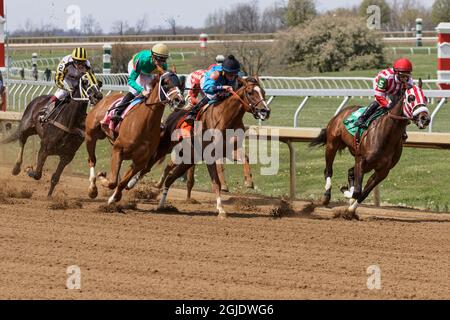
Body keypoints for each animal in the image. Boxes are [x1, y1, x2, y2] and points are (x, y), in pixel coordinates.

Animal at [84, 71, 185, 204]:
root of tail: (102, 100)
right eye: (165, 83)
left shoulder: (139, 161)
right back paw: (92, 189)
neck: (146, 123)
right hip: (91, 136)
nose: (179, 100)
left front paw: (114, 198)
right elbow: (112, 182)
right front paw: (102, 178)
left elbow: (122, 182)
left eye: (179, 83)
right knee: (92, 160)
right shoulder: (119, 149)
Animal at [312, 82, 430, 220]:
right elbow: (358, 191)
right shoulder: (361, 160)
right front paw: (347, 193)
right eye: (411, 98)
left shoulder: (383, 171)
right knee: (328, 170)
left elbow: (363, 193)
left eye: (425, 98)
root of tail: (342, 112)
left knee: (350, 172)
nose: (425, 119)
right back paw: (326, 196)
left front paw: (350, 210)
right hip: (332, 144)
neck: (387, 135)